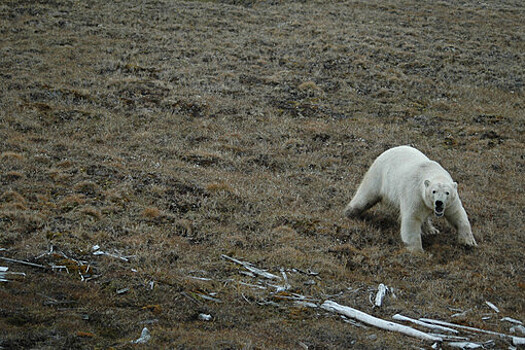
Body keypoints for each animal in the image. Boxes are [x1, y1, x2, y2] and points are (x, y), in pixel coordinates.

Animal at [342, 145, 476, 252]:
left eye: (447, 193)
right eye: (434, 191)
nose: (439, 203)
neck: (430, 170)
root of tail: (388, 150)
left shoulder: (451, 202)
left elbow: (457, 214)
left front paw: (469, 242)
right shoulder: (415, 194)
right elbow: (412, 218)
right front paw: (417, 250)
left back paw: (431, 230)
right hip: (379, 175)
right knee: (365, 195)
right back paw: (349, 213)